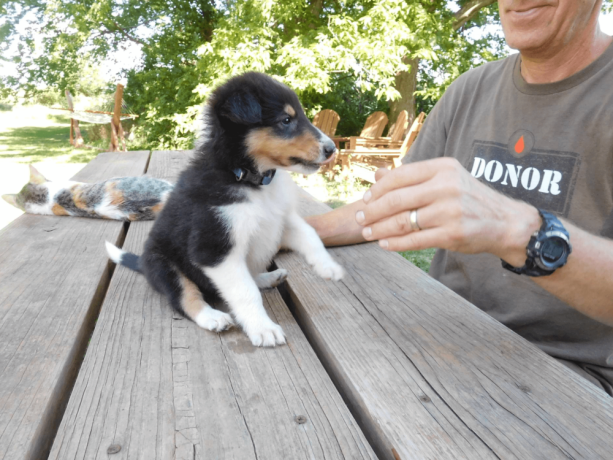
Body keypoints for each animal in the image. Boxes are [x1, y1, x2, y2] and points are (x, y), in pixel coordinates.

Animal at [107, 73, 342, 344]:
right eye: (286, 120)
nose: (332, 149)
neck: (248, 178)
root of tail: (144, 265)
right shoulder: (215, 249)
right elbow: (245, 291)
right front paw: (263, 329)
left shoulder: (282, 219)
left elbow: (310, 235)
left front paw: (329, 268)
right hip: (164, 265)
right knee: (184, 297)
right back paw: (212, 317)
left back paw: (269, 277)